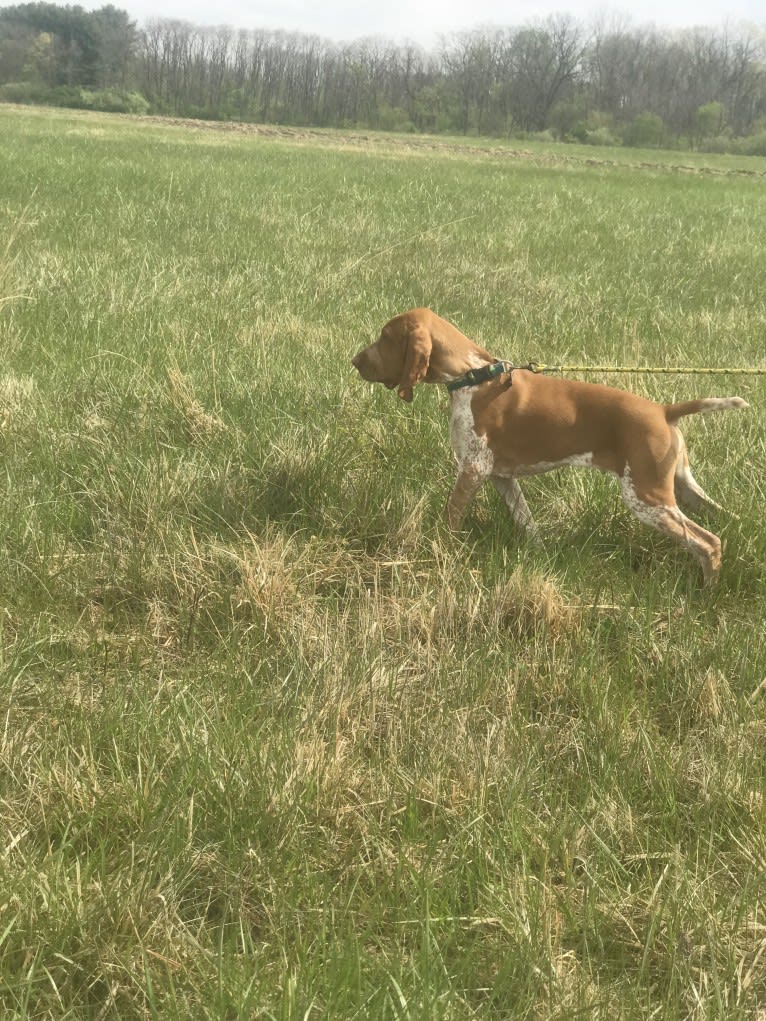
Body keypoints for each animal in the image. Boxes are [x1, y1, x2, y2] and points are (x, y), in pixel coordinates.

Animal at [353, 306, 751, 588]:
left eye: (386, 337)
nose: (354, 361)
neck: (472, 376)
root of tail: (665, 411)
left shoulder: (472, 470)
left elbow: (450, 519)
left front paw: (438, 553)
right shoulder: (500, 476)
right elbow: (528, 523)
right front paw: (540, 558)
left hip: (647, 498)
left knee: (708, 542)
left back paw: (706, 596)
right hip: (680, 490)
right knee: (724, 522)